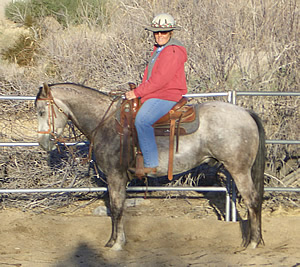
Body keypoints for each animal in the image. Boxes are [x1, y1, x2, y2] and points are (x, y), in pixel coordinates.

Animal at [35, 83, 264, 251]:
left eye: (41, 111)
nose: (43, 143)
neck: (106, 123)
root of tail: (245, 112)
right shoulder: (119, 178)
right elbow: (119, 207)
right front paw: (116, 240)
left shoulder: (115, 176)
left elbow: (116, 208)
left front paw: (115, 244)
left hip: (239, 170)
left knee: (252, 200)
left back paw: (253, 243)